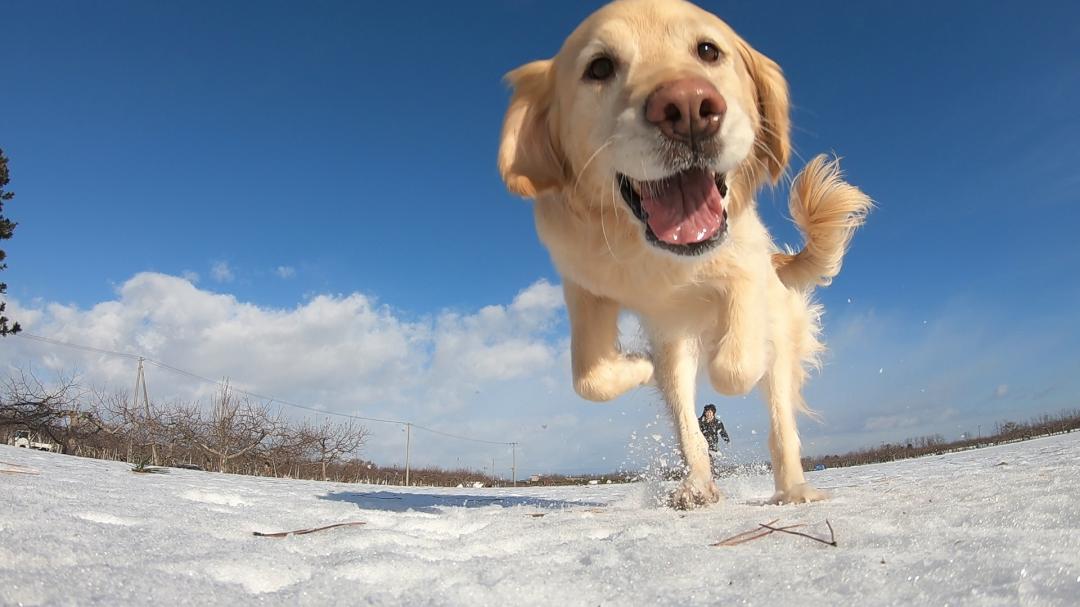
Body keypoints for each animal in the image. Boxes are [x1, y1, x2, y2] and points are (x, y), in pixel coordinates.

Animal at [496, 0, 868, 505]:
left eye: (708, 50)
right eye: (599, 67)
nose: (689, 107)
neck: (661, 257)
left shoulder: (746, 272)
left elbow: (736, 365)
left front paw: (729, 357)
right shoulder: (585, 288)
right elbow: (589, 377)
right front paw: (637, 367)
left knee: (780, 425)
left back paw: (793, 490)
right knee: (687, 424)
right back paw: (696, 487)